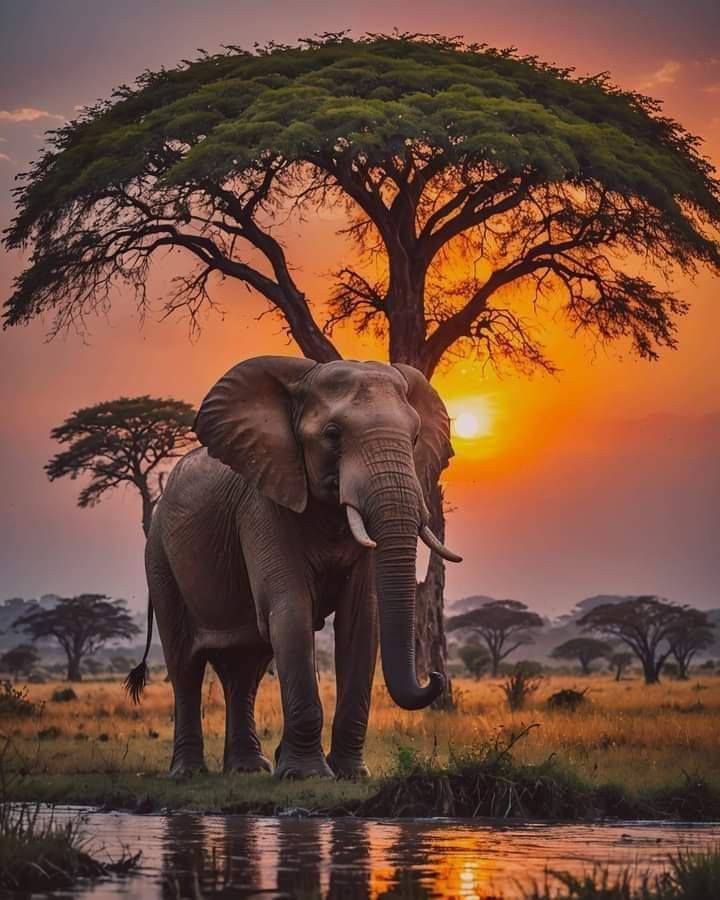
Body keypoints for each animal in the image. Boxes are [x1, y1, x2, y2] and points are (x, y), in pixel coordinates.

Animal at [126, 356, 458, 776]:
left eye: (414, 438)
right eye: (332, 435)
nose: (434, 675)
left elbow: (362, 618)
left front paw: (349, 774)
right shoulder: (260, 505)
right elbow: (291, 609)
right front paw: (306, 774)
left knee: (245, 669)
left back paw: (248, 769)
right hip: (159, 558)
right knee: (185, 665)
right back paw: (189, 773)